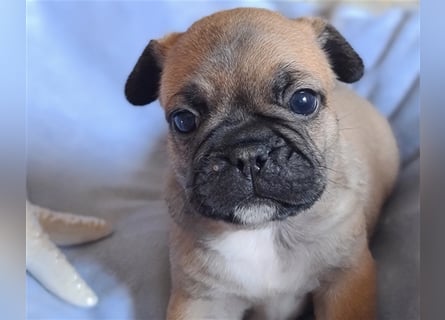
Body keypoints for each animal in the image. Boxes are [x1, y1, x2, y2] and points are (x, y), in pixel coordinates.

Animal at [124, 7, 398, 320]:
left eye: (304, 101)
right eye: (183, 120)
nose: (247, 153)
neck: (267, 230)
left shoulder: (346, 279)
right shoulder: (201, 299)